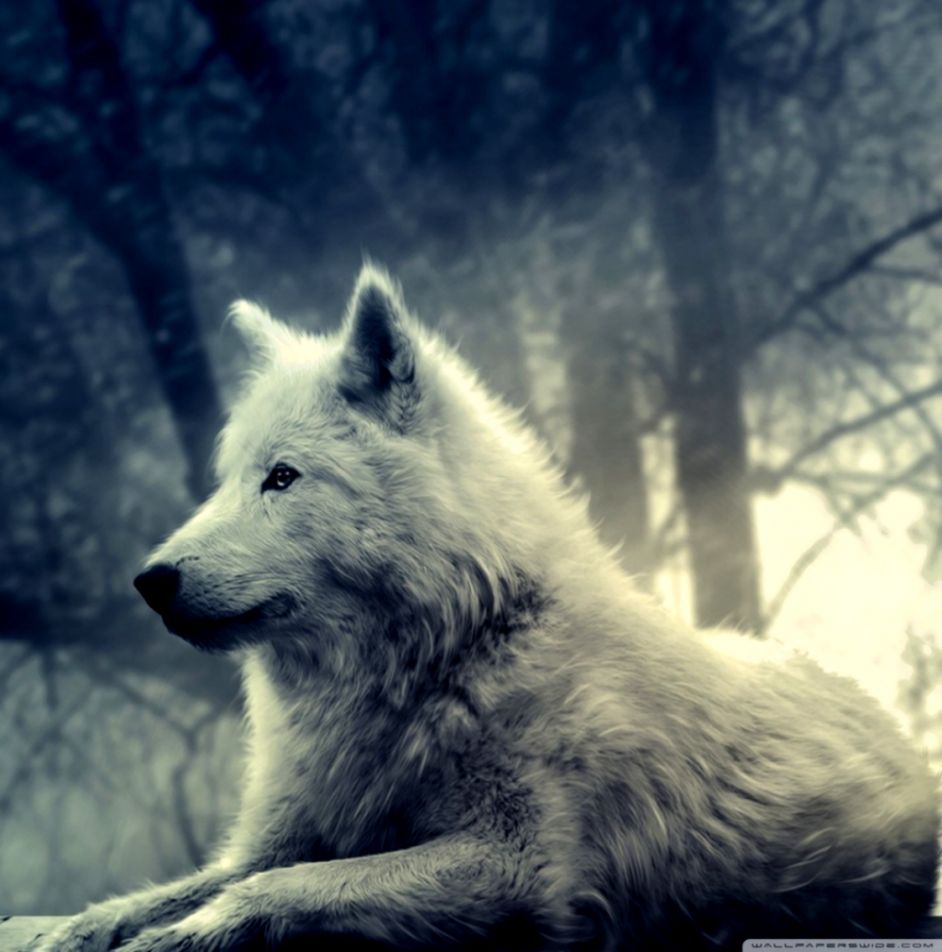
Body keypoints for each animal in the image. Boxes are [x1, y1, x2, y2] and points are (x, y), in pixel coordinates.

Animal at [40, 265, 938, 951]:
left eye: (283, 477)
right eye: (227, 480)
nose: (149, 580)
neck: (451, 651)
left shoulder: (517, 864)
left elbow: (286, 888)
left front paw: (184, 935)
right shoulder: (274, 836)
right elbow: (179, 888)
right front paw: (78, 927)